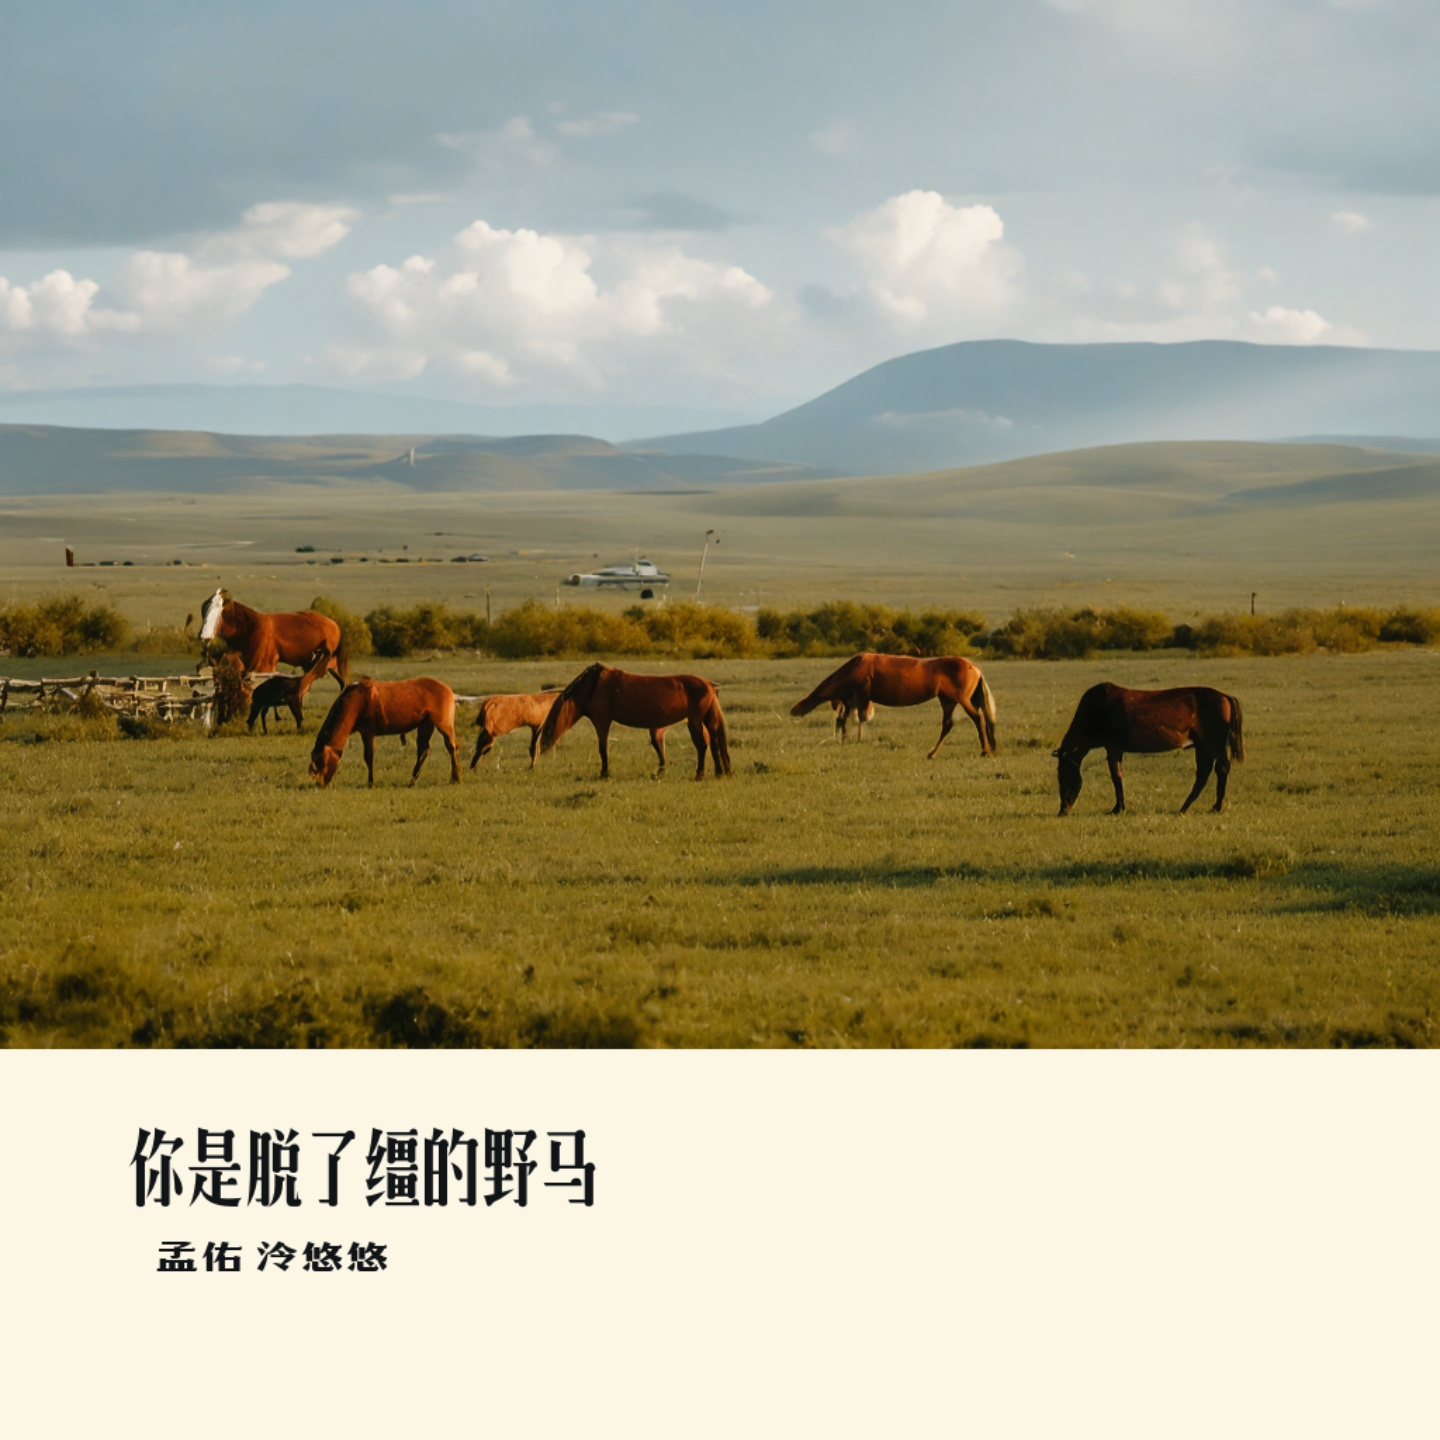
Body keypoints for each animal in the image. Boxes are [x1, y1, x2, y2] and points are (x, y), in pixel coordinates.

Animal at [199, 588, 349, 689]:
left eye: (218, 610)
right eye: (204, 610)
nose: (203, 635)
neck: (249, 627)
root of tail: (334, 625)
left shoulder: (263, 668)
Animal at [309, 678, 461, 788]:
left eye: (322, 762)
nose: (321, 784)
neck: (355, 701)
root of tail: (449, 690)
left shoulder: (368, 732)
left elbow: (369, 757)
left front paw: (371, 783)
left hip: (443, 724)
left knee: (451, 746)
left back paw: (456, 778)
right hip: (425, 724)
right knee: (424, 750)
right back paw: (412, 780)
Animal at [538, 663, 731, 780]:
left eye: (549, 726)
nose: (543, 749)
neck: (593, 686)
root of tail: (709, 685)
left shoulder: (602, 721)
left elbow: (603, 748)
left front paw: (605, 773)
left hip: (694, 721)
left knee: (702, 746)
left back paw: (699, 775)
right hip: (705, 721)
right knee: (714, 744)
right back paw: (718, 772)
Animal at [791, 653, 997, 758]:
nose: (794, 711)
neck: (855, 666)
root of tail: (976, 669)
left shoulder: (860, 697)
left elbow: (855, 719)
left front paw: (854, 741)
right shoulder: (852, 701)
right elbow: (846, 720)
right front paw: (845, 741)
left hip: (960, 700)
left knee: (977, 718)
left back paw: (985, 751)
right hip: (947, 701)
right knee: (949, 724)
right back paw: (932, 753)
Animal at [1053, 683, 1244, 816]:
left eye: (1064, 777)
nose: (1063, 810)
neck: (1096, 710)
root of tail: (1225, 696)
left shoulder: (1113, 748)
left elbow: (1116, 777)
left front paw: (1118, 808)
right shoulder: (1116, 749)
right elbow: (1118, 776)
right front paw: (1119, 807)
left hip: (1214, 744)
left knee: (1221, 769)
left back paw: (1216, 807)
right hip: (1202, 747)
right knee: (1203, 774)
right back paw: (1185, 807)